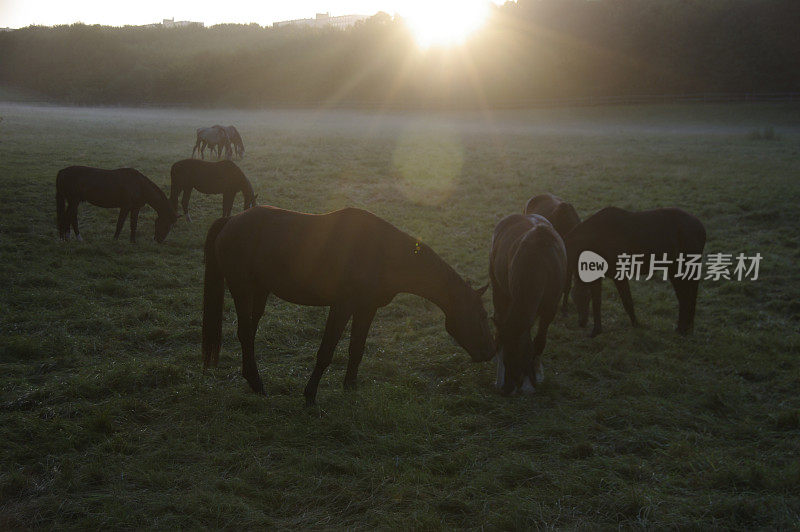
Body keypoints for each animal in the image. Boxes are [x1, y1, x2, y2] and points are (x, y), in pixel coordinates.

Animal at [202, 205, 494, 404]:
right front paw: (310, 397)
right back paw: (257, 383)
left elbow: (357, 349)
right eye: (481, 315)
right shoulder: (342, 306)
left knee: (250, 333)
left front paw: (350, 387)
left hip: (260, 291)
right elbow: (326, 351)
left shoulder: (367, 308)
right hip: (242, 289)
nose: (489, 352)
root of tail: (230, 221)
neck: (383, 251)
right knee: (245, 333)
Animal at [490, 213, 564, 394]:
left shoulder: (550, 309)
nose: (504, 389)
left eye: (516, 355)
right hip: (498, 288)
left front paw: (534, 377)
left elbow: (538, 342)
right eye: (505, 358)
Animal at [564, 207, 708, 336]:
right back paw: (683, 328)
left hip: (686, 266)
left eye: (585, 298)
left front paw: (636, 324)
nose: (582, 322)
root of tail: (702, 228)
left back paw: (686, 329)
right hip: (675, 269)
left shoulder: (619, 273)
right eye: (574, 298)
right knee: (684, 296)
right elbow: (598, 301)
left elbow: (627, 301)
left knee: (689, 295)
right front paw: (597, 330)